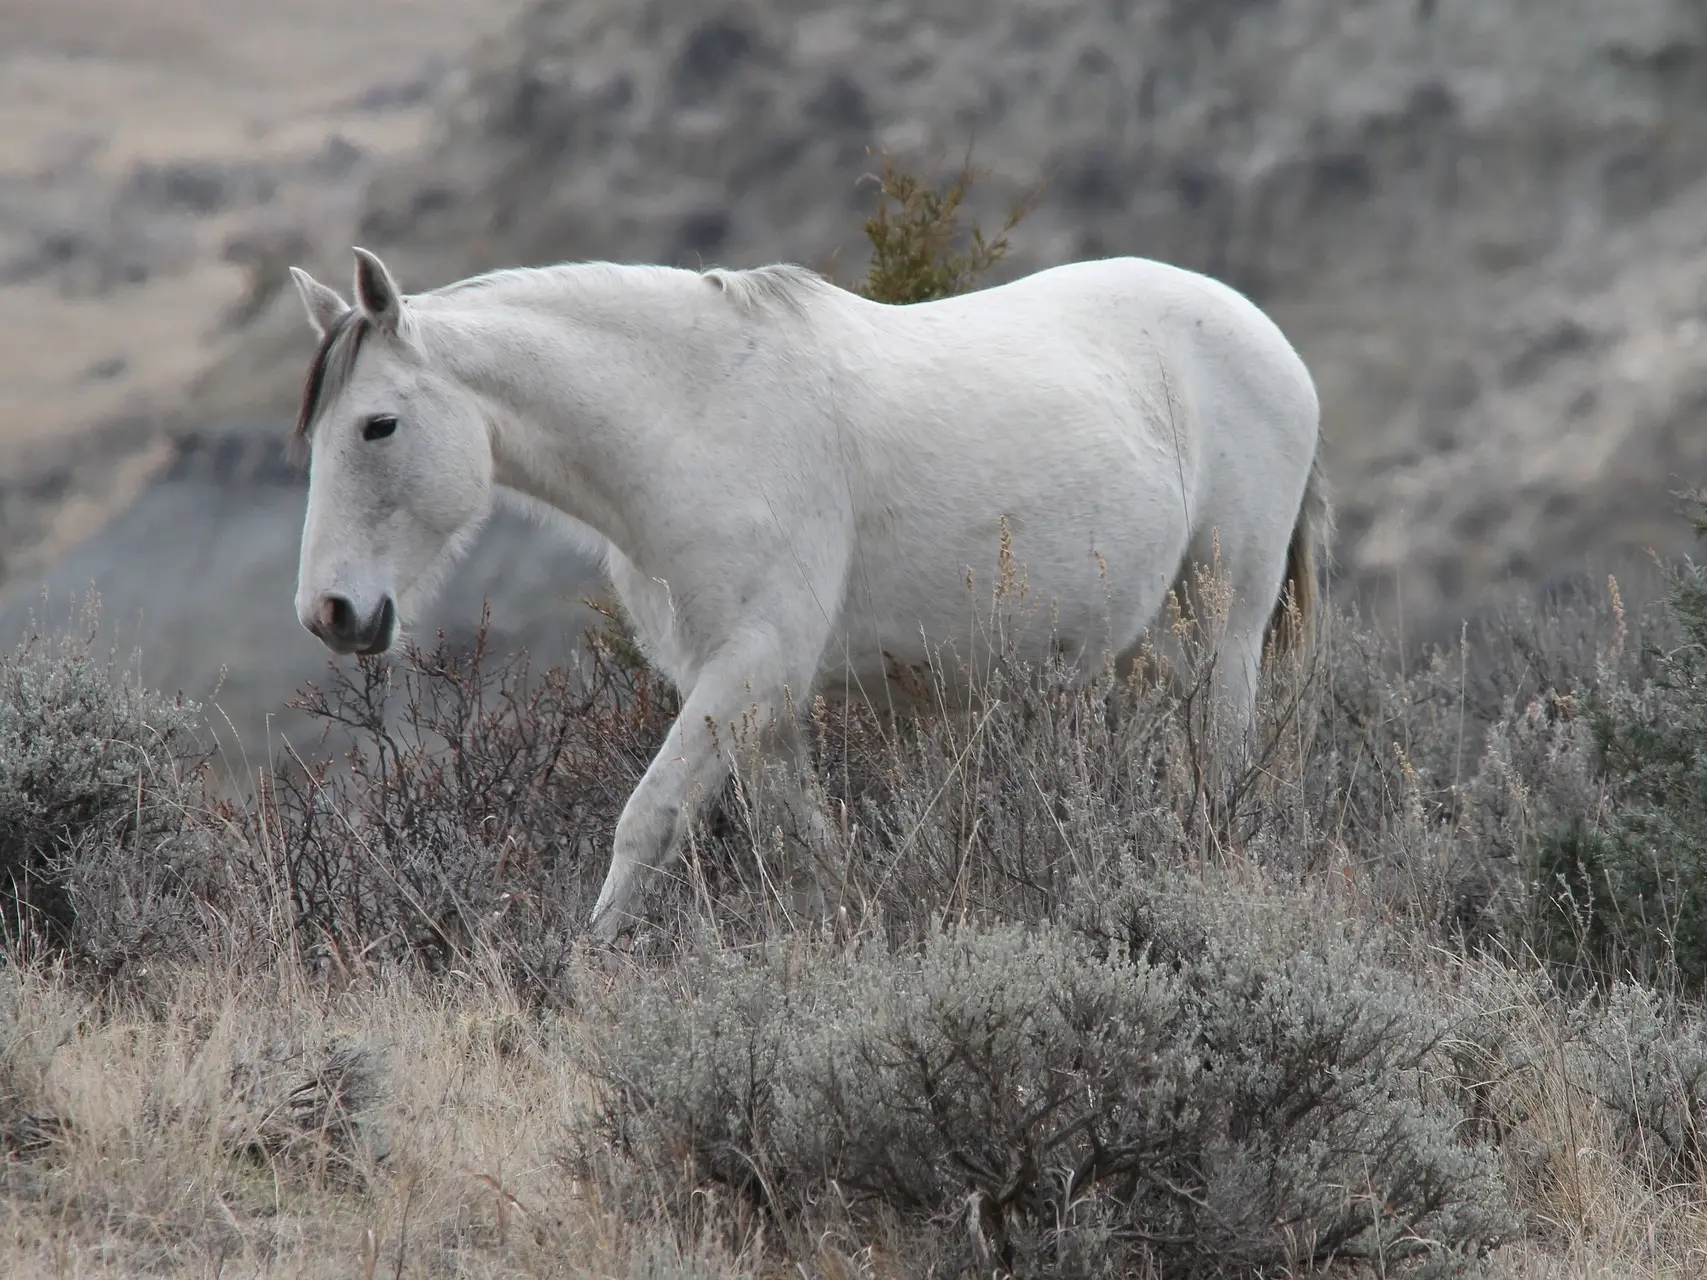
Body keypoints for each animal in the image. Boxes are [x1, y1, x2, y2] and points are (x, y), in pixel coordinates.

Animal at [286, 245, 1324, 942]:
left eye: (378, 425)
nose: (330, 615)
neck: (698, 418)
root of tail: (1263, 333)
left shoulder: (753, 669)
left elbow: (646, 821)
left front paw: (589, 971)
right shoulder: (750, 695)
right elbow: (809, 851)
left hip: (1225, 618)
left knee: (1220, 756)